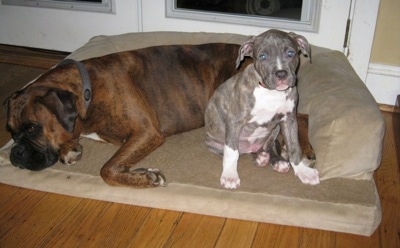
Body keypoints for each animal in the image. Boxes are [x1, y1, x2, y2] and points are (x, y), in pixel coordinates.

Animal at [4, 44, 252, 188]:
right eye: (11, 132)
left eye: (31, 128)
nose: (14, 153)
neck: (87, 92)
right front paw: (70, 149)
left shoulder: (146, 132)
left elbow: (106, 169)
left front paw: (147, 177)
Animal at [205, 29, 320, 189]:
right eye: (262, 56)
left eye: (290, 53)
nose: (281, 74)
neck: (271, 92)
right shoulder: (235, 121)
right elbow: (231, 153)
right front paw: (229, 175)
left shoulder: (289, 119)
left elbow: (294, 146)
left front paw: (303, 171)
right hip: (214, 143)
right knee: (235, 151)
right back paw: (260, 157)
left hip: (275, 130)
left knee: (269, 146)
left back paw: (273, 160)